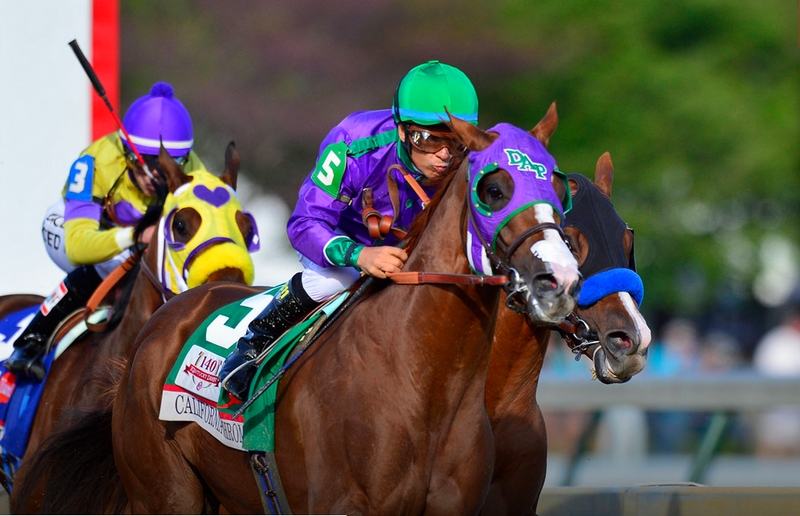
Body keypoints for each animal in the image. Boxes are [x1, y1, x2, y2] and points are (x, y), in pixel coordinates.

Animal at [108, 111, 580, 512]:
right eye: (494, 190)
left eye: (559, 192)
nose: (559, 278)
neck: (422, 383)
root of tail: (160, 320)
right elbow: (308, 219)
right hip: (165, 491)